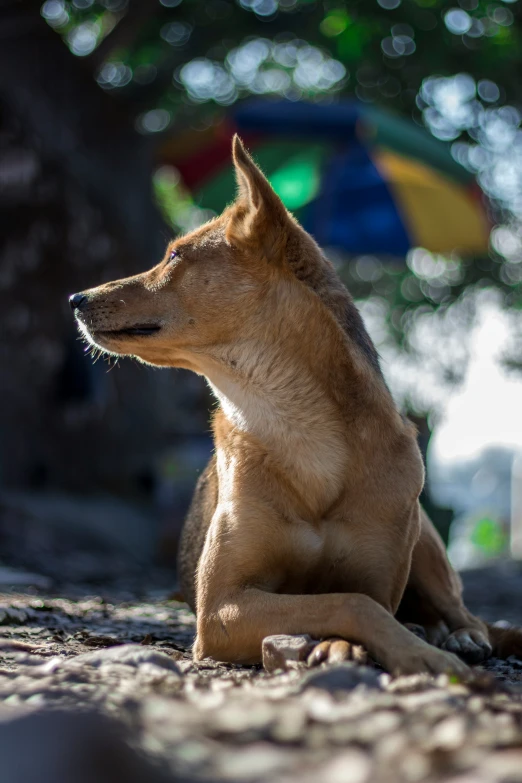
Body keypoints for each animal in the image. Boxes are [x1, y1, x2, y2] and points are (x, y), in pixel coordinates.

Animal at [70, 135, 520, 672]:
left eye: (175, 255)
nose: (75, 298)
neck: (295, 421)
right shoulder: (221, 607)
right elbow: (345, 603)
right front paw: (384, 647)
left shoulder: (373, 575)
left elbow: (357, 598)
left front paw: (403, 648)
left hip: (428, 543)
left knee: (463, 612)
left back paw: (461, 636)